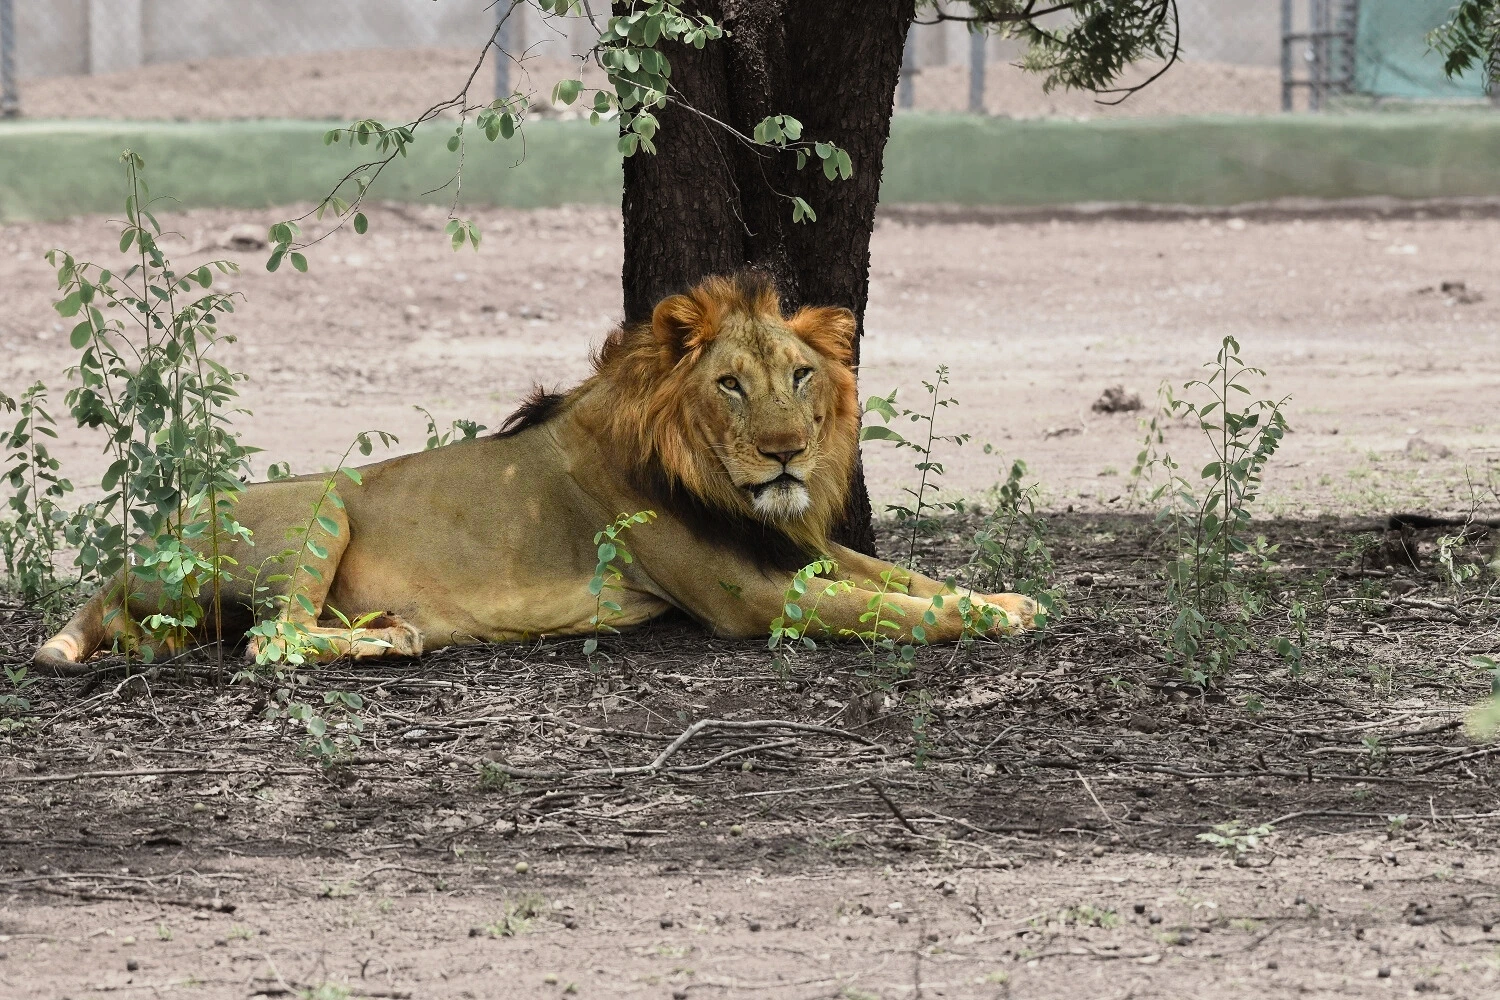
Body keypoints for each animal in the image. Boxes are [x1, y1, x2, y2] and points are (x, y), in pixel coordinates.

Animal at [35, 273, 1035, 671]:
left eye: (800, 376)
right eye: (730, 385)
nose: (789, 450)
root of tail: (124, 562)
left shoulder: (788, 544)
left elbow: (901, 575)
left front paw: (1009, 596)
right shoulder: (748, 598)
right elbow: (888, 609)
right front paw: (991, 618)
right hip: (322, 507)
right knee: (268, 642)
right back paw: (390, 639)